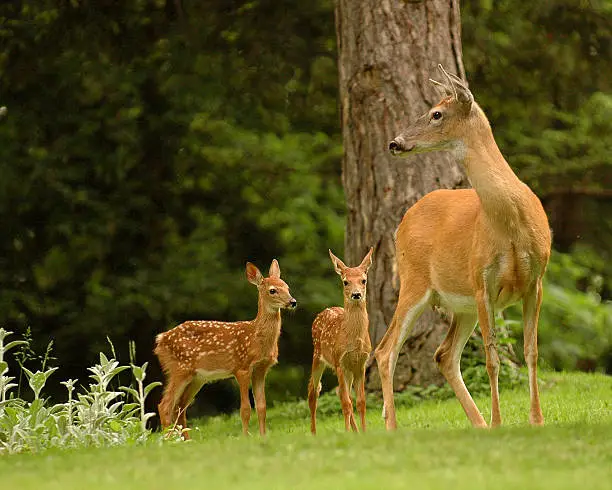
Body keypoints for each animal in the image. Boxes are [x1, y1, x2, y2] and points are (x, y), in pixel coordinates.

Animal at [154, 260, 296, 436]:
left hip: (197, 377)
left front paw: (263, 436)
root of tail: (160, 340)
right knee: (165, 406)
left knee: (179, 407)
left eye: (287, 287)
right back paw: (169, 439)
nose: (293, 302)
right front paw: (246, 437)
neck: (256, 338)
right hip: (179, 369)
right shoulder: (242, 367)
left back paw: (185, 439)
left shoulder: (261, 369)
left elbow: (262, 407)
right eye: (273, 290)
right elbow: (245, 409)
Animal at [306, 249, 372, 432]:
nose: (356, 294)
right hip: (318, 356)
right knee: (313, 391)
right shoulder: (340, 362)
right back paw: (314, 433)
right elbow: (346, 403)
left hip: (347, 370)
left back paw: (356, 431)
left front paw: (364, 432)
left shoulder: (361, 364)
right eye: (345, 282)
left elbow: (361, 402)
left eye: (363, 280)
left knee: (342, 393)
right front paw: (347, 433)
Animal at [376, 65, 552, 428]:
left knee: (443, 354)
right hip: (415, 282)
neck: (511, 223)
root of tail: (402, 222)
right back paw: (393, 426)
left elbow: (531, 352)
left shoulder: (535, 281)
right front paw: (499, 422)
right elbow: (491, 359)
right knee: (385, 350)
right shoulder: (482, 280)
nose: (394, 142)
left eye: (436, 114)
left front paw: (536, 420)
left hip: (461, 304)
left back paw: (478, 424)